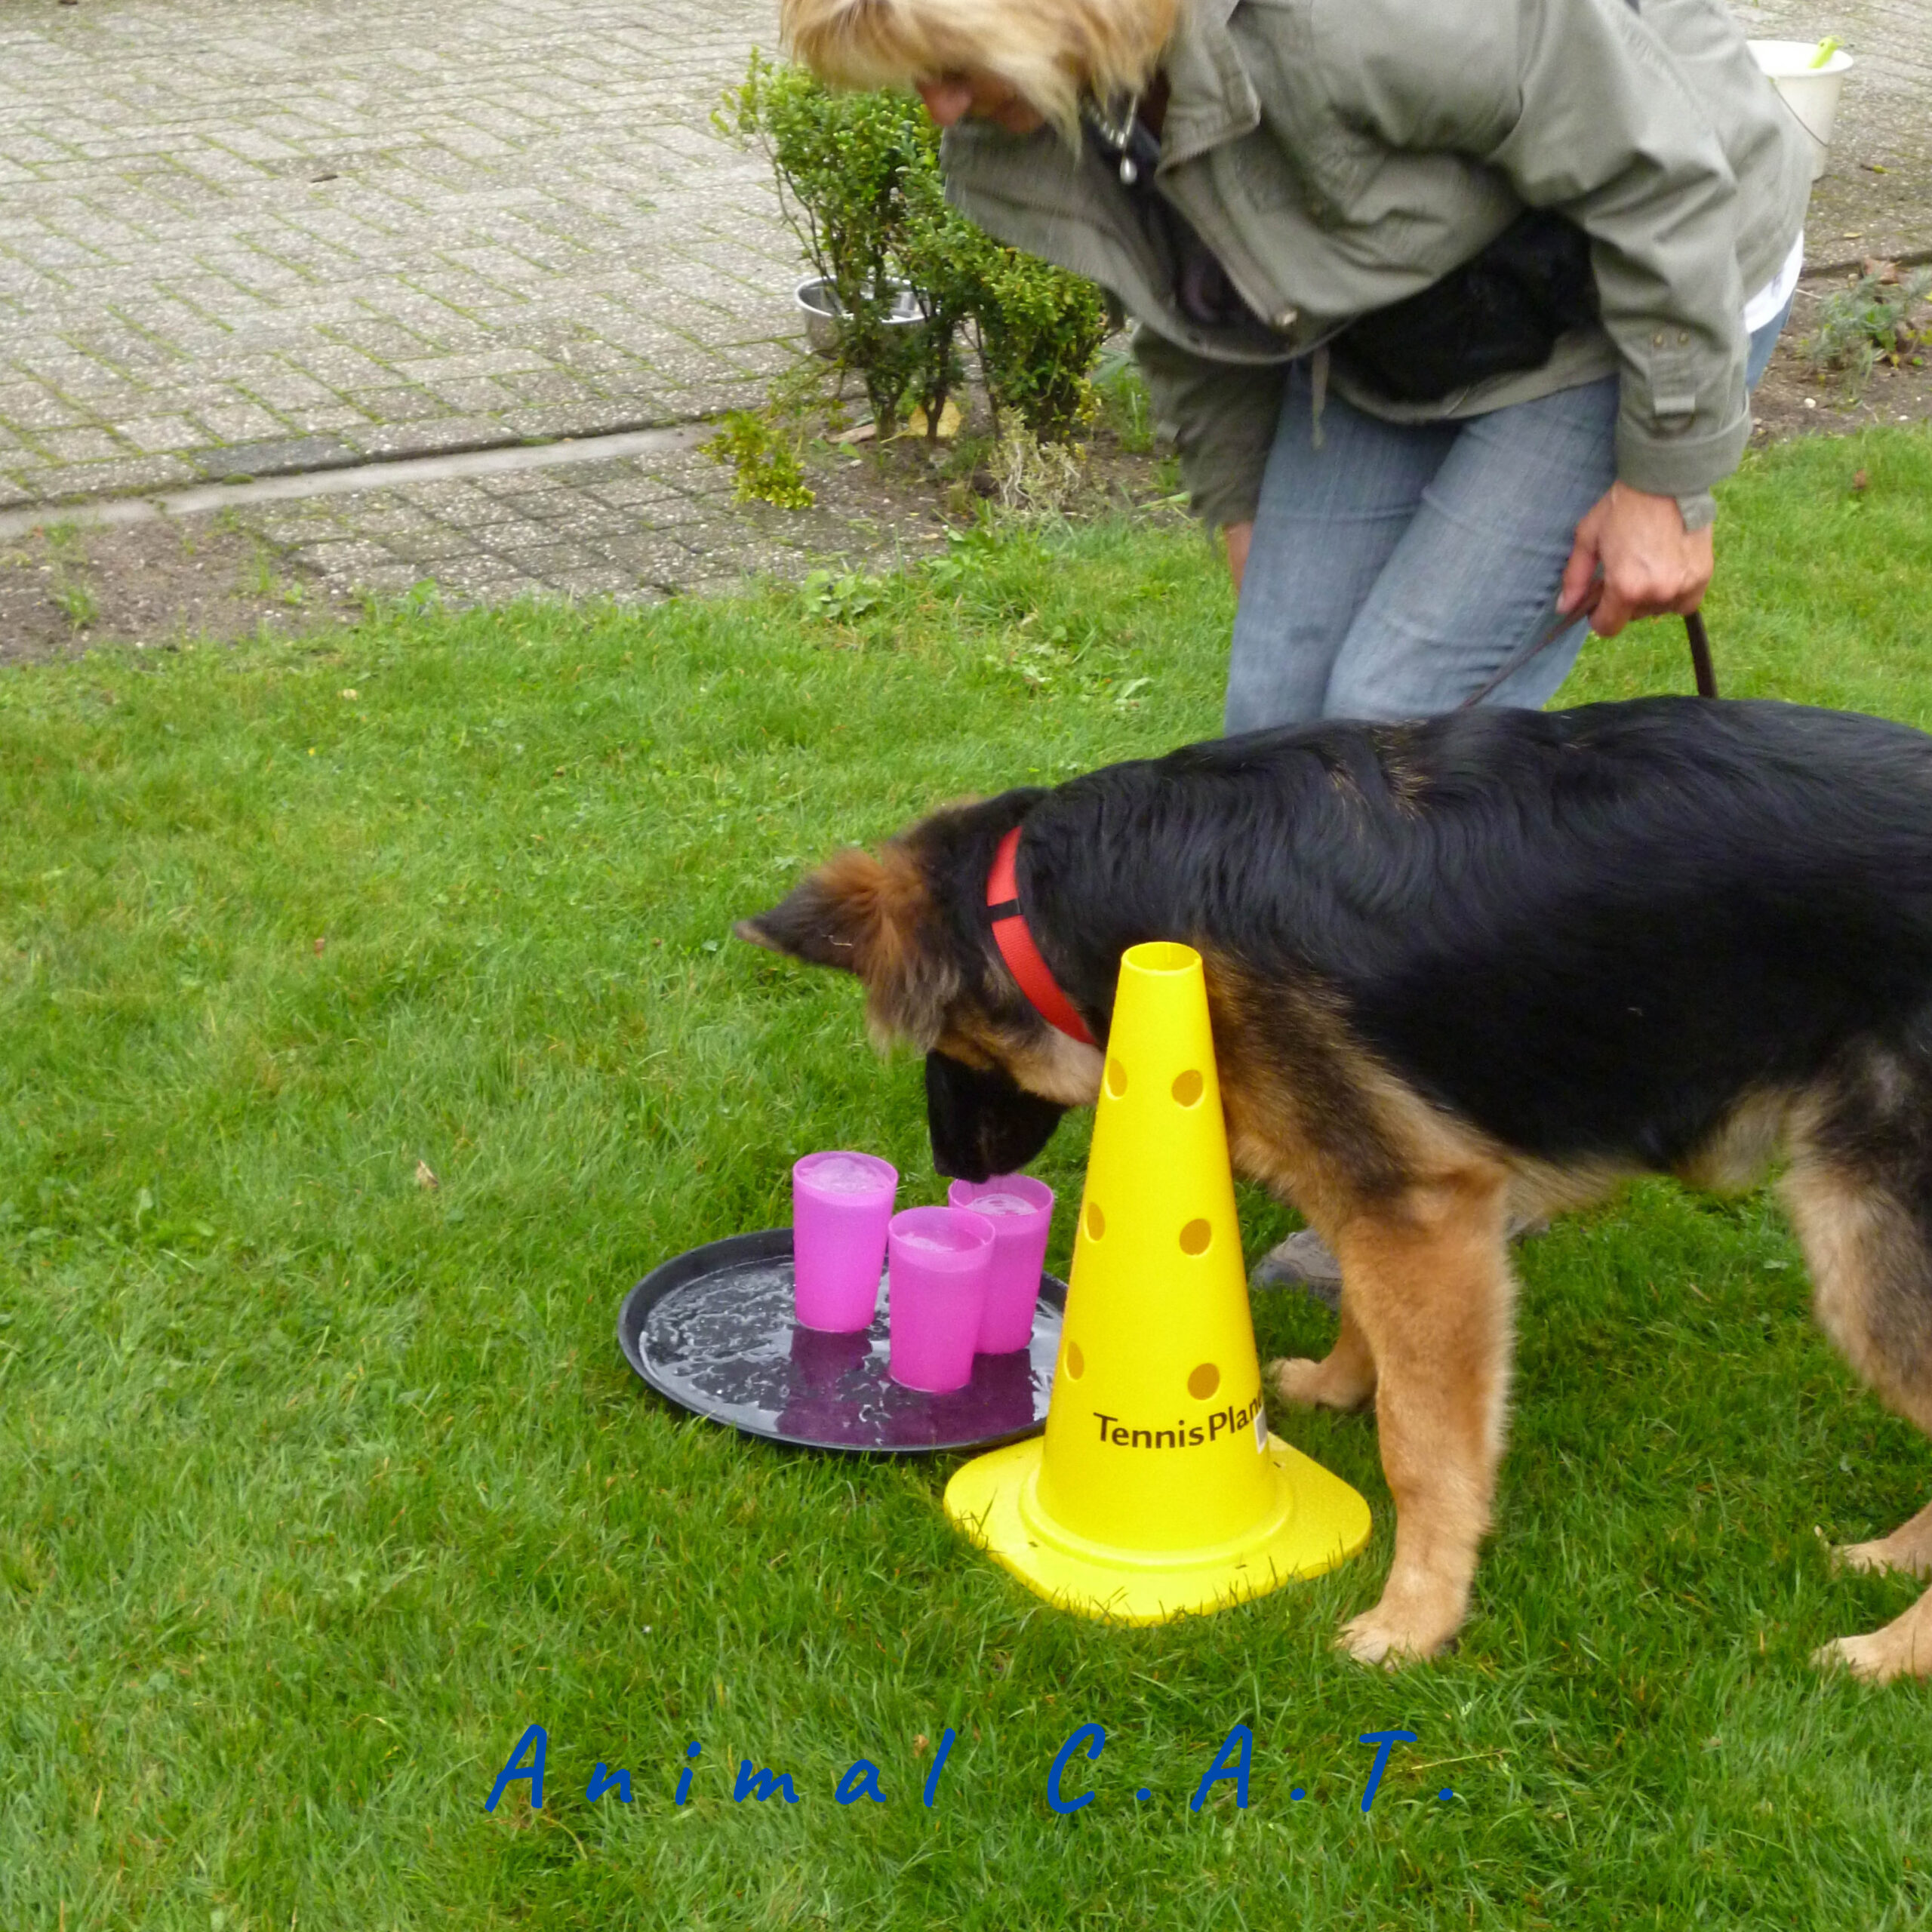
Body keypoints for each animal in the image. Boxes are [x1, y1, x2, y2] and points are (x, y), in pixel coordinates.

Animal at [738, 697, 1932, 1680]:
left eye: (946, 1046)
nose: (958, 1170)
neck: (1061, 899)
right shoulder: (1392, 1202)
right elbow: (1373, 1322)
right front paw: (1338, 1381)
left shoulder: (1422, 1212)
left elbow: (1425, 1444)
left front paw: (1416, 1620)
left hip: (1868, 1249)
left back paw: (1891, 1653)